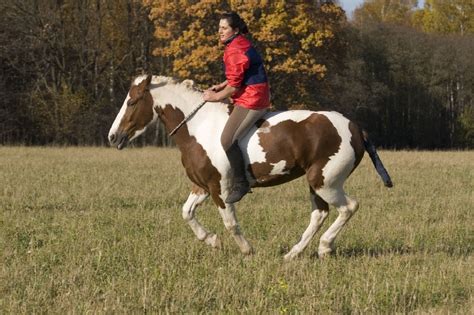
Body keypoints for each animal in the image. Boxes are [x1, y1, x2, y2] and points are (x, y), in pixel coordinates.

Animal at [108, 75, 392, 260]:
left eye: (132, 102)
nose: (113, 136)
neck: (199, 128)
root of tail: (355, 128)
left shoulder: (220, 189)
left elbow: (230, 222)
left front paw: (247, 250)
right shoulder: (202, 186)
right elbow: (187, 213)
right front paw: (212, 241)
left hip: (325, 182)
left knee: (348, 207)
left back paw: (324, 247)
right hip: (317, 183)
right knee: (320, 214)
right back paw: (293, 254)